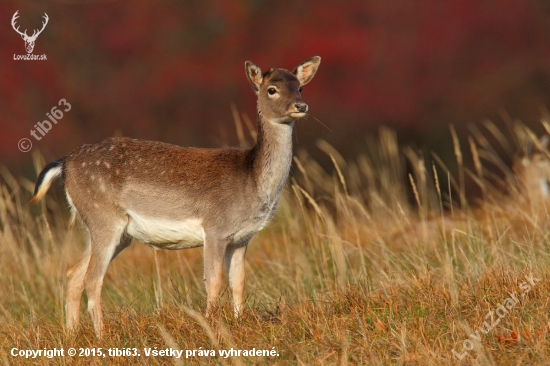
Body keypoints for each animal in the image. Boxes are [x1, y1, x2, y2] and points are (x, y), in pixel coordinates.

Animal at [30, 56, 322, 334]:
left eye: (300, 87)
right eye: (272, 89)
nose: (301, 106)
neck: (252, 182)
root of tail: (65, 163)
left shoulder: (242, 237)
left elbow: (238, 282)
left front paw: (239, 323)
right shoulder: (215, 227)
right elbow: (213, 281)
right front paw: (211, 324)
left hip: (109, 229)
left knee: (74, 273)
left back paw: (72, 334)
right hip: (103, 217)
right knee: (92, 278)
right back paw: (101, 335)